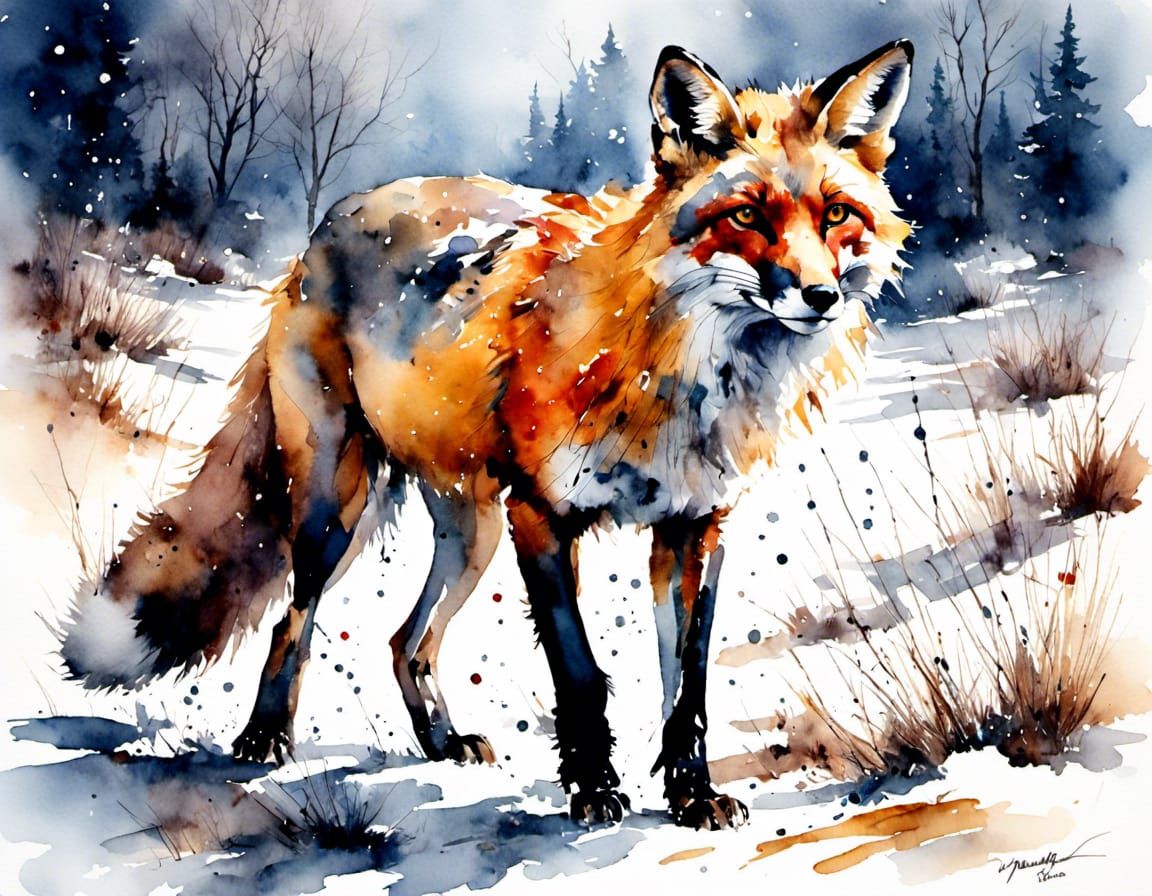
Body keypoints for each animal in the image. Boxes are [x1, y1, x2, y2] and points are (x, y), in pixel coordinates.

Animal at [62, 40, 914, 829]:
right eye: (745, 216)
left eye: (837, 215)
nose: (820, 296)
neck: (670, 374)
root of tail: (324, 229)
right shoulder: (542, 515)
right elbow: (581, 674)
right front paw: (595, 793)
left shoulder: (695, 526)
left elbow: (689, 686)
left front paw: (692, 796)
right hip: (339, 508)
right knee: (290, 621)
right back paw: (265, 738)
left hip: (469, 533)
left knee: (405, 642)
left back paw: (440, 740)